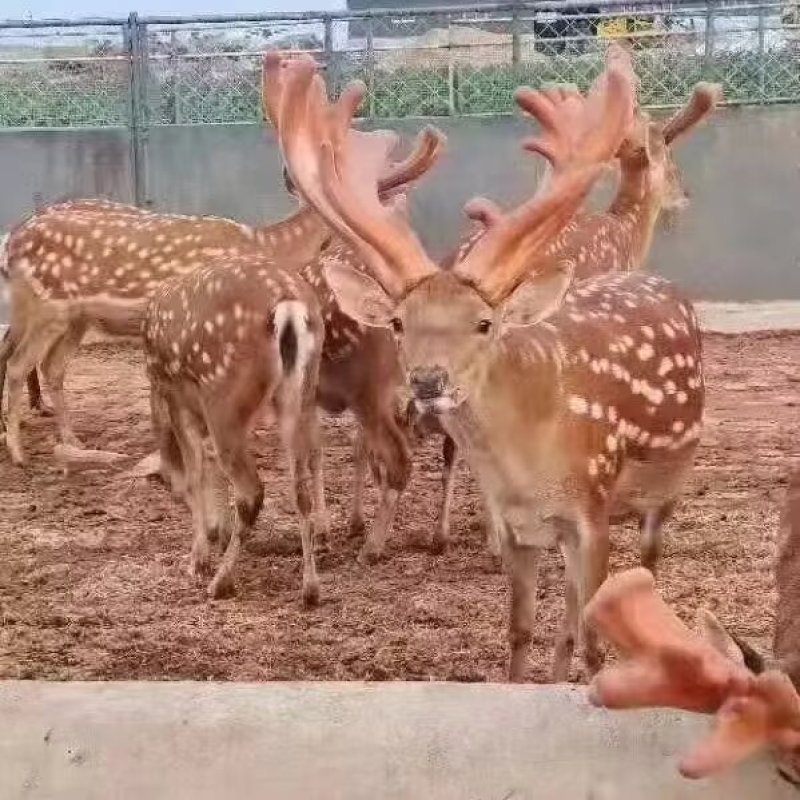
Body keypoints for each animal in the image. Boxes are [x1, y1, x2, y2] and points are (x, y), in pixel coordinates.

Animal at [273, 48, 705, 682]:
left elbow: (595, 638)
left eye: (484, 323)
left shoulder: (592, 511)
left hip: (665, 486)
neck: (530, 465)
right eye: (398, 322)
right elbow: (520, 630)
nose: (428, 381)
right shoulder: (522, 526)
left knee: (643, 567)